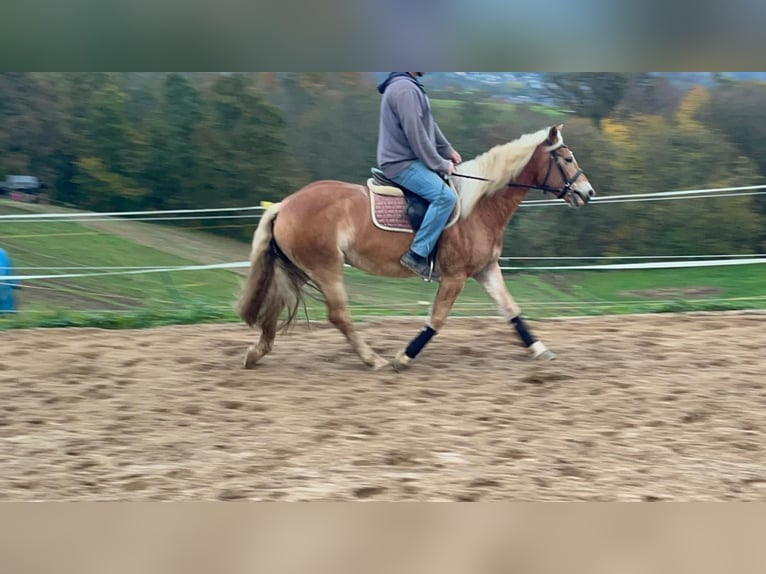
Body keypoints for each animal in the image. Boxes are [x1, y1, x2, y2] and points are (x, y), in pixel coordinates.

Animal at [237, 124, 596, 372]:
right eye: (567, 158)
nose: (587, 192)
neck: (478, 207)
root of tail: (285, 204)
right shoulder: (455, 277)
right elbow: (436, 319)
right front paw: (404, 357)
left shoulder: (485, 270)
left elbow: (511, 309)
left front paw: (539, 348)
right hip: (326, 268)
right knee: (338, 315)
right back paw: (373, 359)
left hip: (297, 268)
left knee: (276, 306)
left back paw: (255, 354)